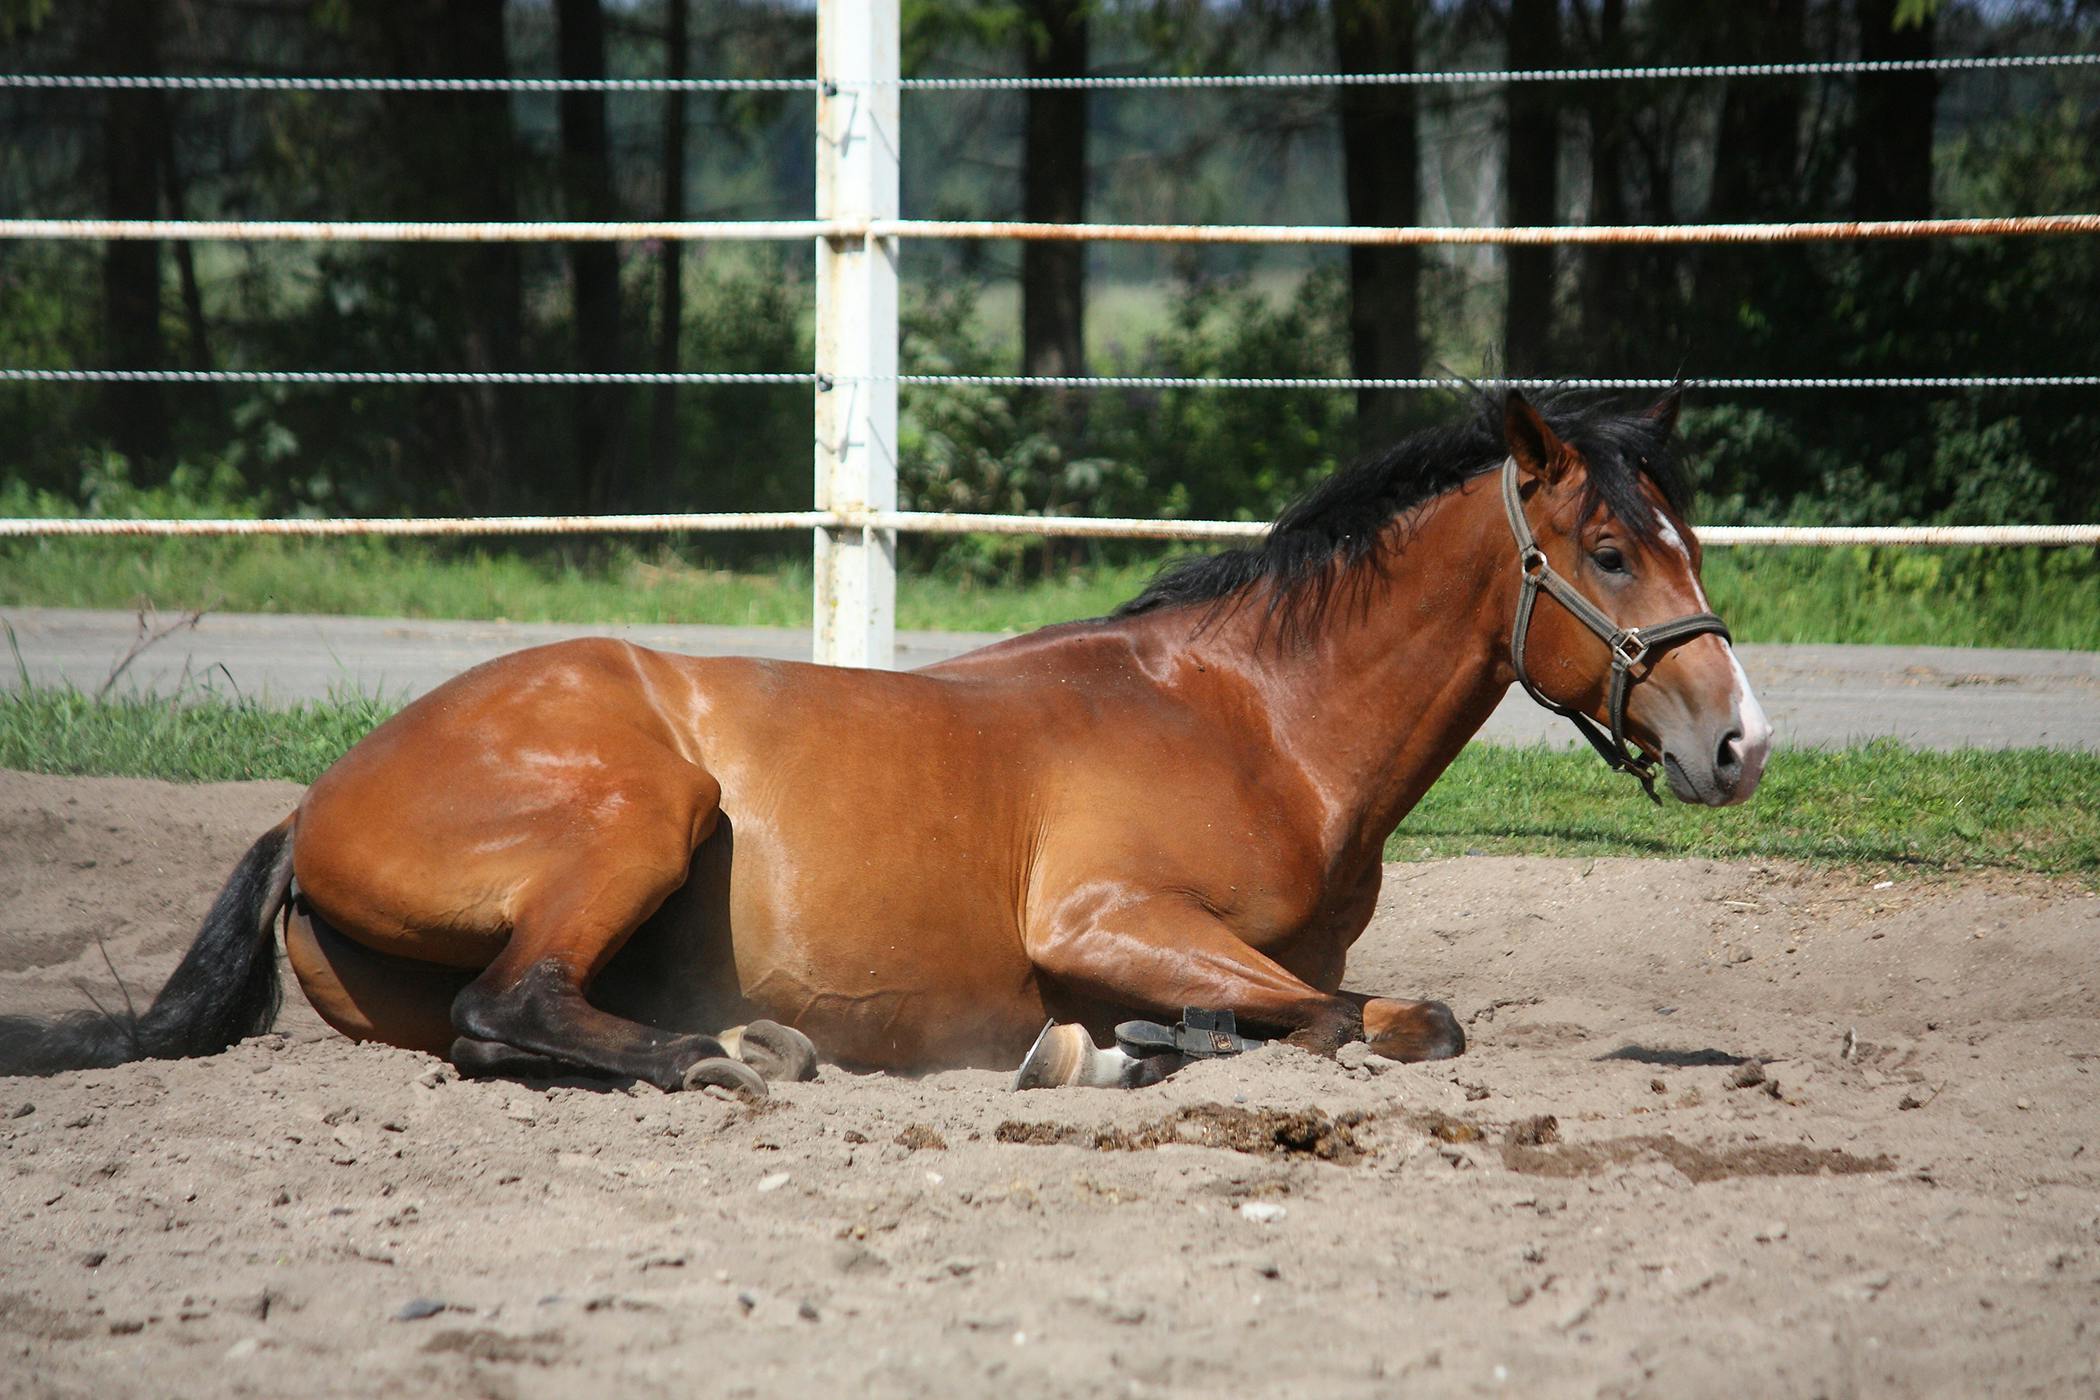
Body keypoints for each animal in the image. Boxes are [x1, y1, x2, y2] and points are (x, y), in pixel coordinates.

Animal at [0, 390, 1771, 1096]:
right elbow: (1359, 1020)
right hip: (638, 814)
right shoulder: (1105, 920)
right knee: (515, 1015)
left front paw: (1137, 1045)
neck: (1252, 720)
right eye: (1611, 553)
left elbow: (1366, 1013)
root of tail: (315, 803)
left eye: (1681, 536)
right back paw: (733, 1056)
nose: (1740, 744)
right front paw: (1113, 1047)